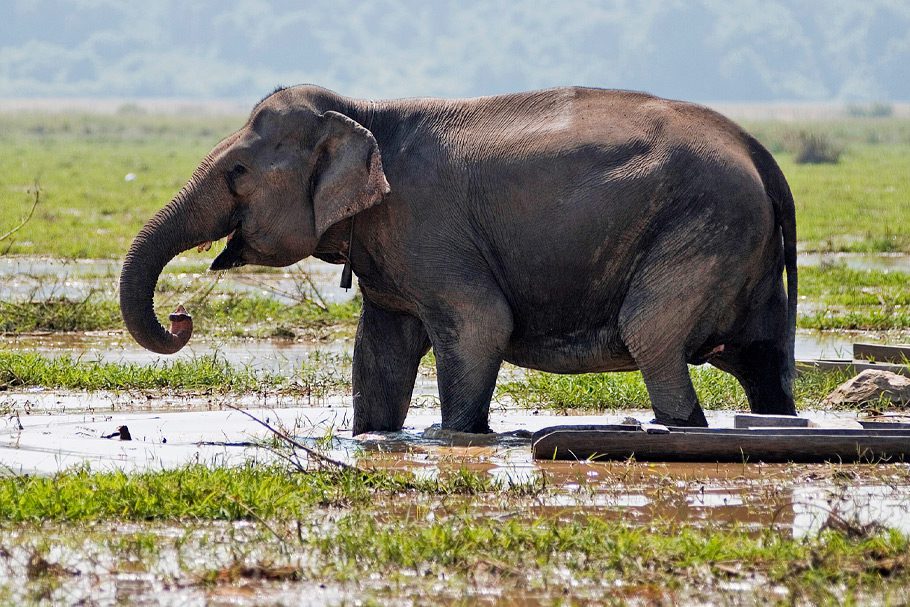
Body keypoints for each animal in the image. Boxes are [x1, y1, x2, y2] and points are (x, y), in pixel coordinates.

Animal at [121, 86, 800, 436]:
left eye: (237, 171)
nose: (181, 319)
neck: (364, 112)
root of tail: (761, 155)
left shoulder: (429, 229)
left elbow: (479, 325)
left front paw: (457, 439)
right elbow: (380, 351)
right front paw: (374, 438)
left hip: (704, 225)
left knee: (651, 333)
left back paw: (684, 429)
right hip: (743, 248)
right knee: (763, 361)